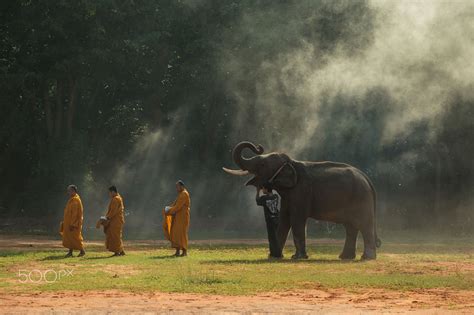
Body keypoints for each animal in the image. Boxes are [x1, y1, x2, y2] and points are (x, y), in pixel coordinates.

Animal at [222, 142, 382, 260]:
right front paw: (274, 256)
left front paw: (297, 257)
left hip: (362, 198)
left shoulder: (301, 191)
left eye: (262, 165)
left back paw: (366, 258)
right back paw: (345, 257)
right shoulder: (288, 196)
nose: (258, 147)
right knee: (351, 227)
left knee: (364, 225)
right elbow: (284, 219)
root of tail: (367, 178)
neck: (291, 162)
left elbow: (297, 219)